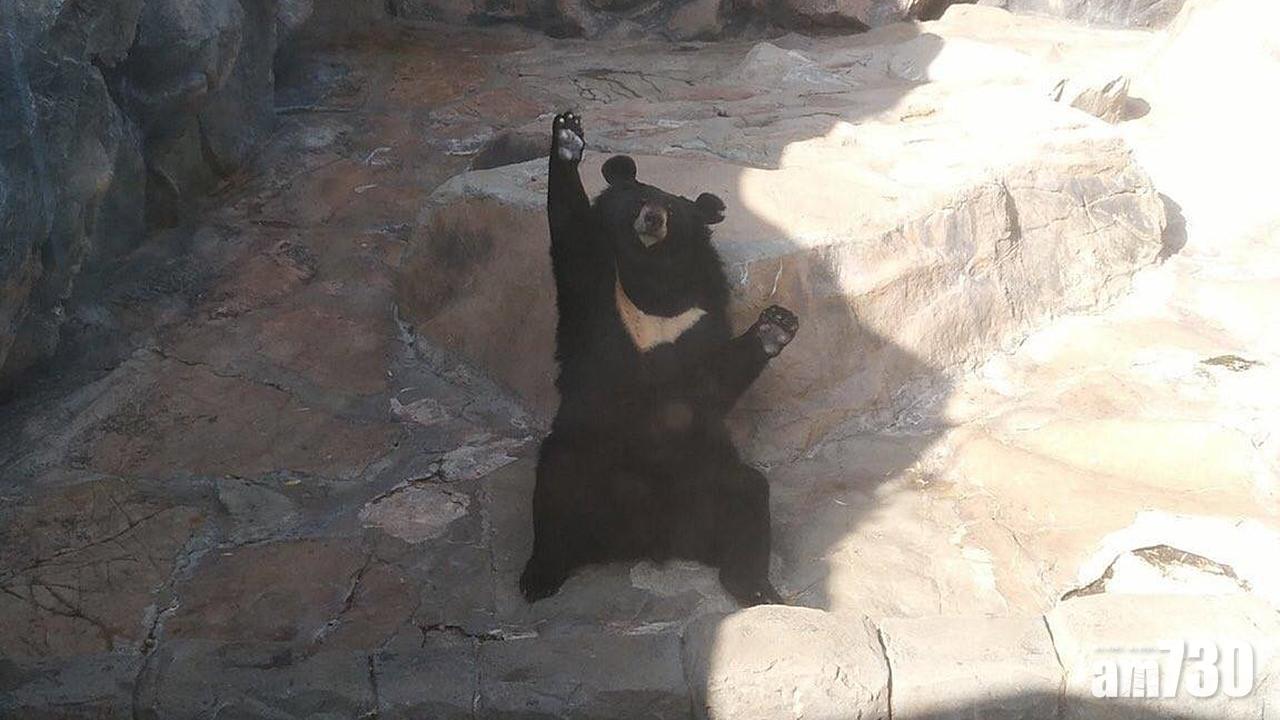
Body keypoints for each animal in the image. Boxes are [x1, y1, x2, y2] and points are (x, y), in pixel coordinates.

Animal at [519, 111, 800, 607]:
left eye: (676, 213)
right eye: (640, 200)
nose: (653, 218)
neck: (653, 286)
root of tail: (651, 539)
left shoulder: (699, 316)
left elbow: (709, 380)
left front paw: (775, 325)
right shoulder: (598, 294)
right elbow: (573, 236)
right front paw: (568, 136)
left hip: (706, 473)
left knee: (750, 497)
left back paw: (757, 588)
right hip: (584, 456)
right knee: (554, 489)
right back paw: (540, 577)